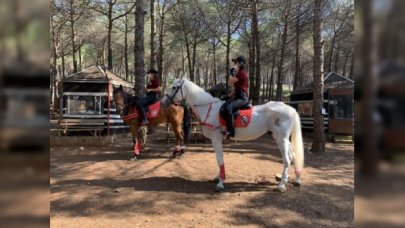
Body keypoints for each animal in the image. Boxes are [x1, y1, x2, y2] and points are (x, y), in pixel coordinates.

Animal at [161, 79, 304, 192]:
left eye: (174, 87)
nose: (162, 102)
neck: (209, 109)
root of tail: (291, 109)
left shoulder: (216, 138)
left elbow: (219, 159)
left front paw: (220, 183)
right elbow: (219, 159)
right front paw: (218, 177)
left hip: (281, 139)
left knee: (287, 159)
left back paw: (282, 185)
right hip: (281, 138)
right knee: (293, 155)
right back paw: (296, 179)